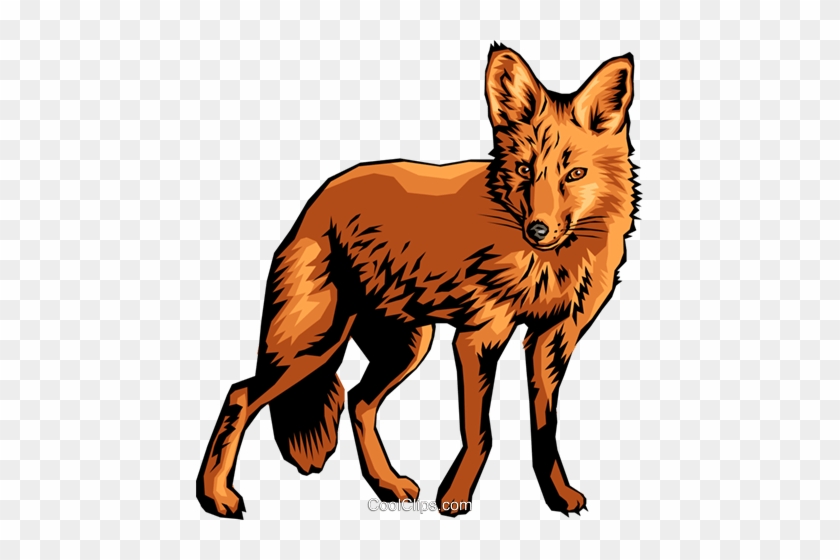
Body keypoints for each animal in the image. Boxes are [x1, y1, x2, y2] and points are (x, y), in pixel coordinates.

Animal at [197, 43, 639, 519]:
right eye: (524, 170)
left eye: (574, 175)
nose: (537, 230)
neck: (548, 266)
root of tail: (317, 199)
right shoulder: (478, 338)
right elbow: (479, 433)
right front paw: (456, 498)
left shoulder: (553, 338)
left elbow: (545, 430)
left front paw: (557, 495)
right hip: (314, 347)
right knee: (241, 395)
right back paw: (215, 496)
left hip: (407, 346)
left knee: (358, 401)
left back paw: (386, 485)